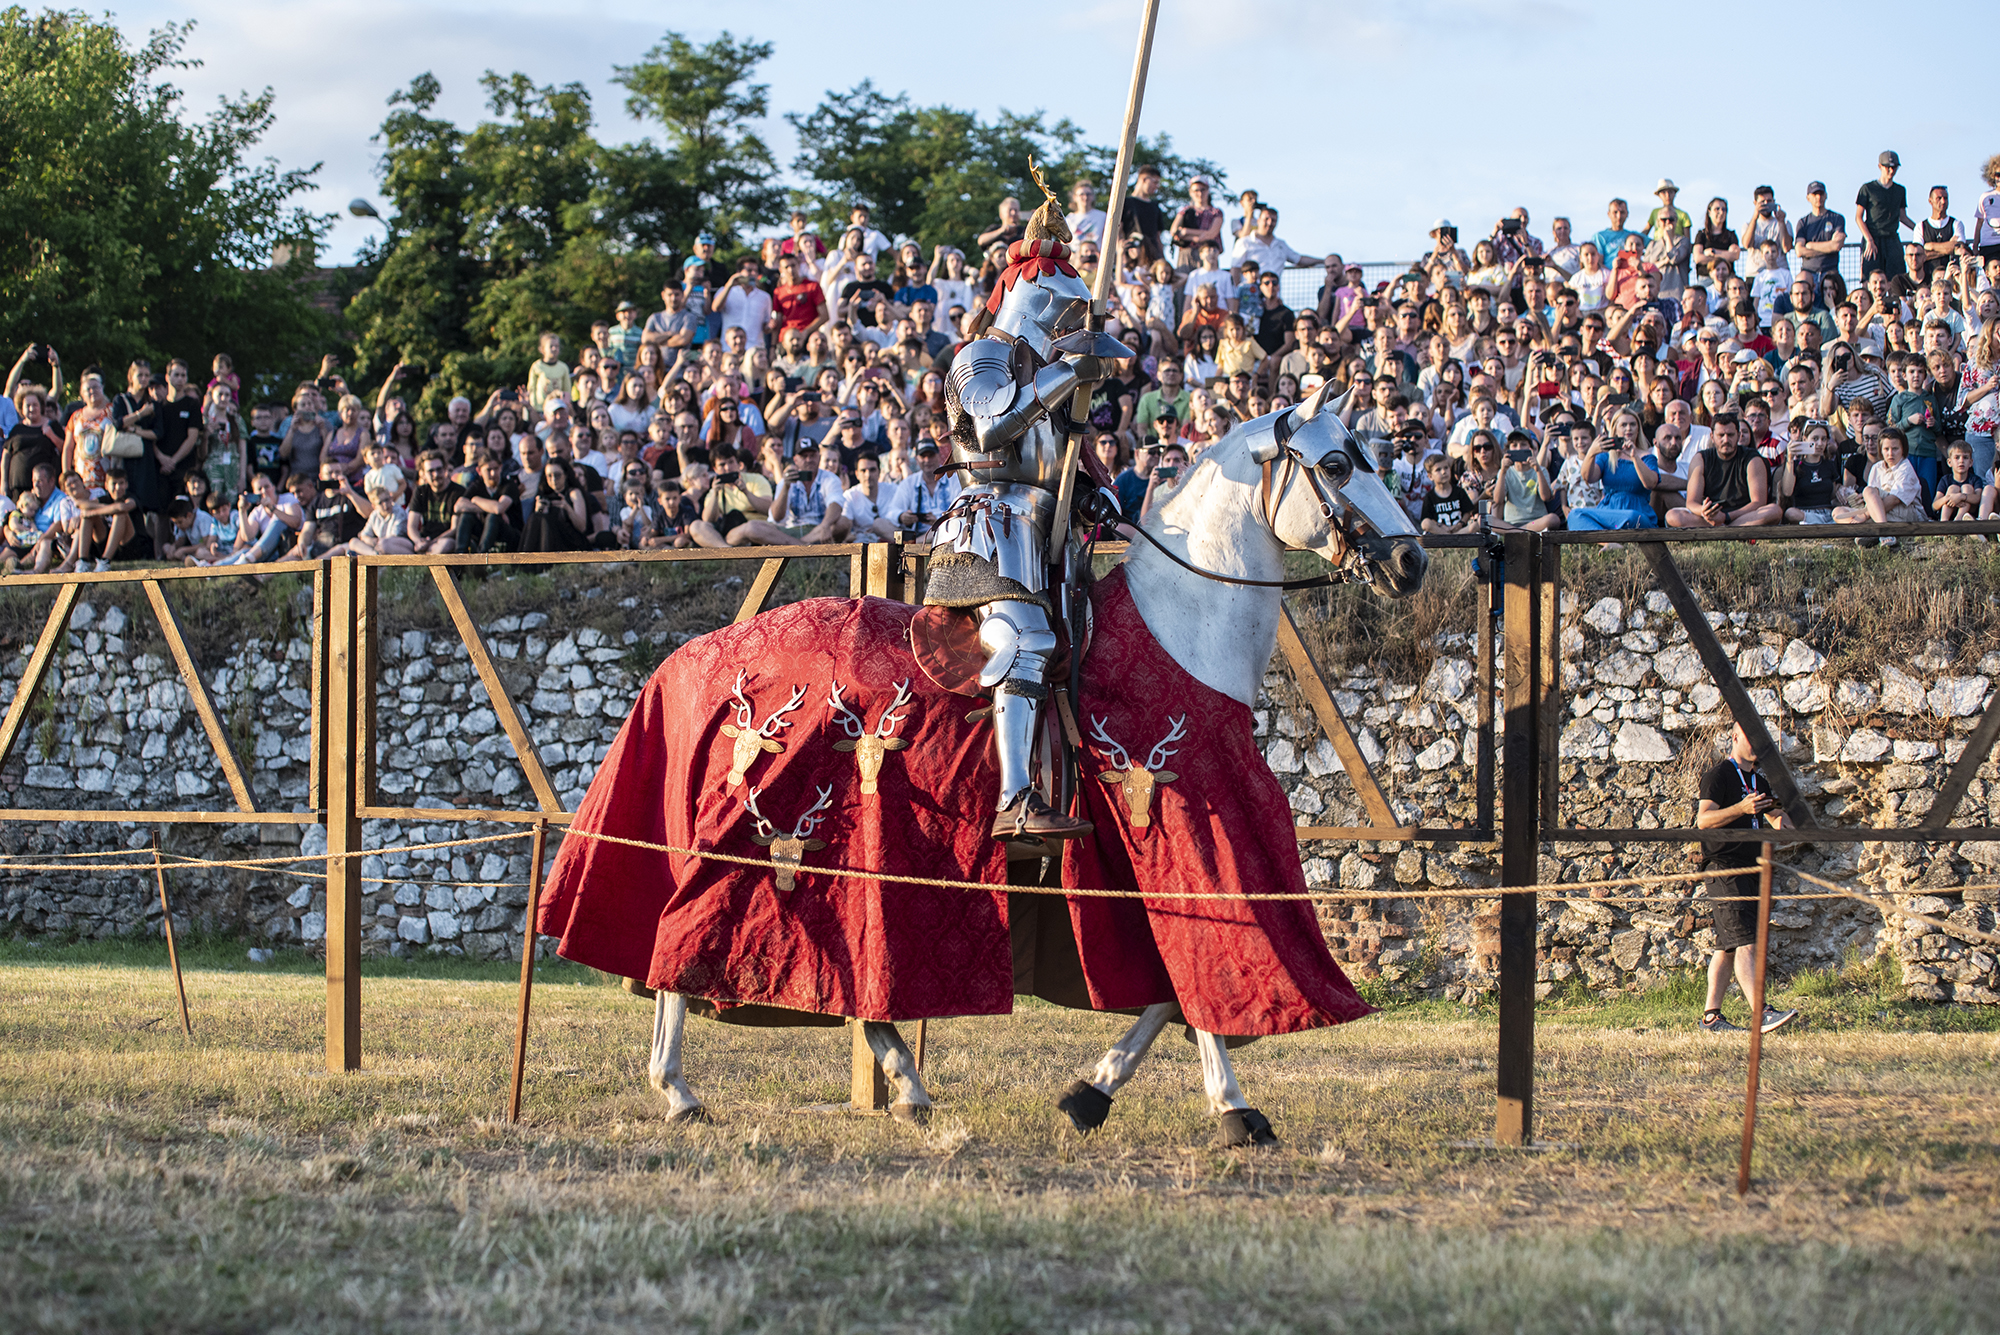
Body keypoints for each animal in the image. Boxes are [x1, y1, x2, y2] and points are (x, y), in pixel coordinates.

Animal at [644, 383, 1424, 1135]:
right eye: (1336, 464)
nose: (1411, 561)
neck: (1183, 629)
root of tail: (701, 652)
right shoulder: (1189, 841)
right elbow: (1205, 971)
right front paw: (1230, 1105)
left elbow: (1170, 991)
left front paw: (1095, 1091)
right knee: (690, 927)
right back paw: (676, 1086)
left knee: (854, 981)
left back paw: (905, 1084)